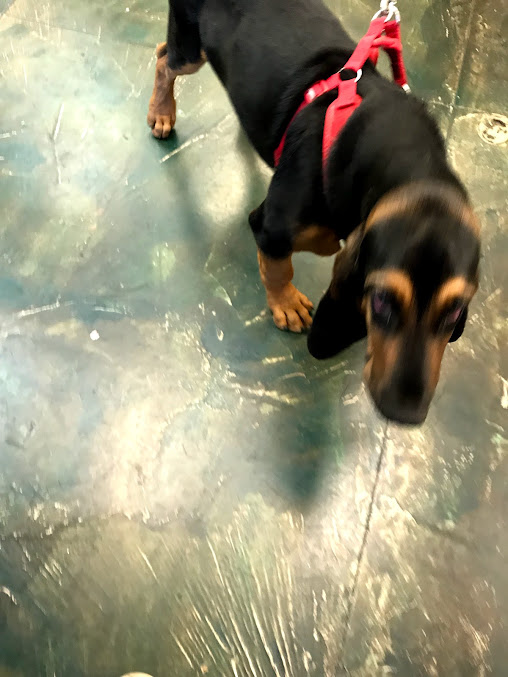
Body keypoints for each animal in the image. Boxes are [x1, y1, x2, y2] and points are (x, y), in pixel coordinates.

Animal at [147, 0, 480, 424]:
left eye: (455, 313)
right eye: (380, 301)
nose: (403, 413)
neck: (406, 161)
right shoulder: (271, 227)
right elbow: (279, 267)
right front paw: (286, 305)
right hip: (190, 49)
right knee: (163, 59)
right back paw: (161, 112)